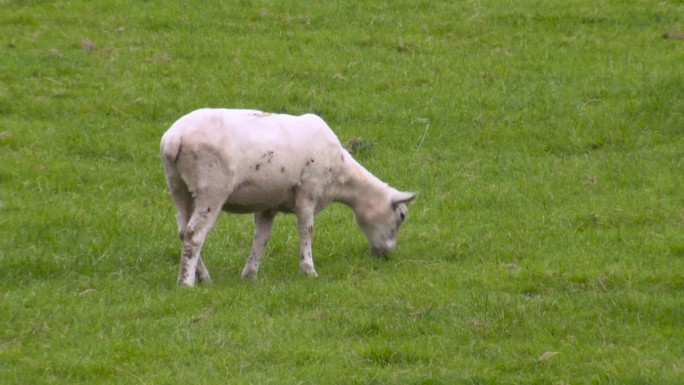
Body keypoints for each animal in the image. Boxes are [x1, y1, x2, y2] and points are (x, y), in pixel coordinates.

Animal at [161, 108, 416, 284]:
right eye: (401, 216)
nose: (386, 255)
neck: (342, 176)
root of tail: (174, 139)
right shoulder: (308, 191)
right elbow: (306, 229)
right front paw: (309, 270)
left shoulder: (269, 204)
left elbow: (262, 237)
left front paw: (250, 274)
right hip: (211, 187)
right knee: (195, 233)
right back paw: (186, 282)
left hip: (178, 186)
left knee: (183, 231)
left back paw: (202, 277)